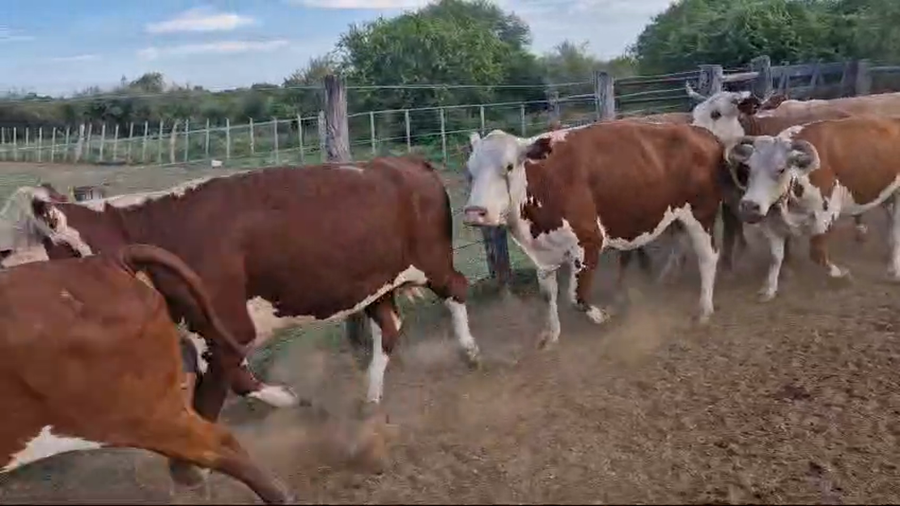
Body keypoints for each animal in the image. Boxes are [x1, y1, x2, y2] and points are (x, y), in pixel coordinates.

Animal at [462, 121, 728, 347]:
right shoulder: (543, 254)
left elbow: (576, 297)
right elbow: (548, 294)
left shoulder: (588, 241)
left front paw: (604, 316)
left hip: (702, 213)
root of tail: (702, 132)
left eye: (508, 167)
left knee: (708, 257)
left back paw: (704, 310)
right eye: (469, 172)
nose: (475, 212)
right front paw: (552, 334)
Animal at [726, 116, 900, 300]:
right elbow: (775, 257)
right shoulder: (771, 223)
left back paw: (894, 270)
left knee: (895, 231)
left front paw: (842, 274)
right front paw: (769, 289)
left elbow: (817, 254)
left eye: (781, 169)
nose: (749, 206)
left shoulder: (825, 216)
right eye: (749, 167)